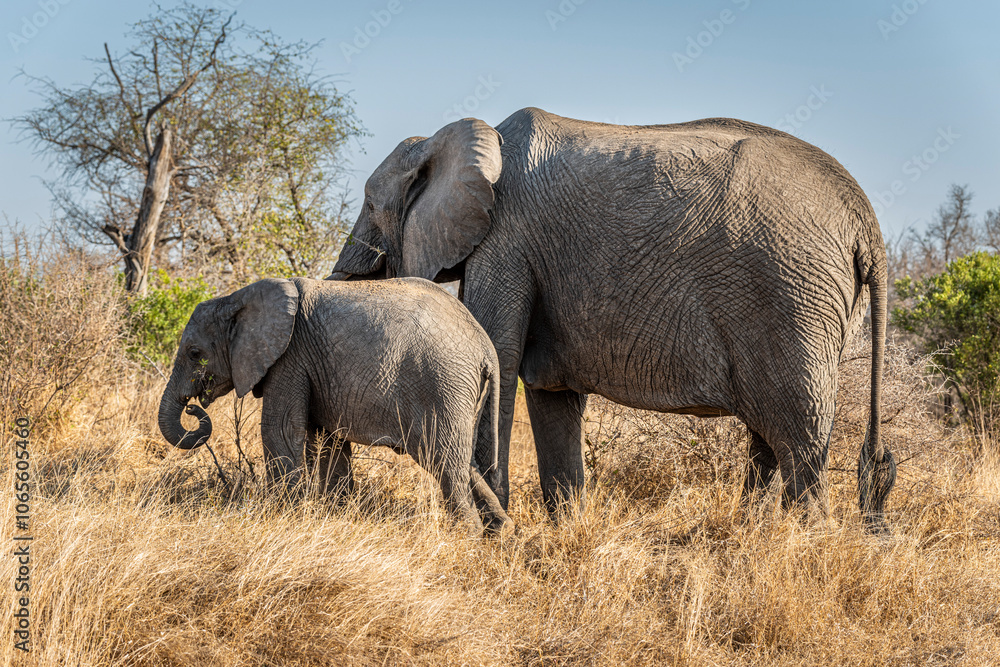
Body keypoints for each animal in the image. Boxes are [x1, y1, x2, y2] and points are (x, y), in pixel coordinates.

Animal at [158, 276, 513, 534]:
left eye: (194, 353)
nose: (192, 408)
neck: (236, 299)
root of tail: (485, 347)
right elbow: (330, 441)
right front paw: (335, 515)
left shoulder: (290, 356)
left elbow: (279, 429)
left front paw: (283, 515)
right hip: (457, 391)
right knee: (460, 459)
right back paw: (501, 530)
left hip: (442, 382)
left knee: (444, 461)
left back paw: (467, 537)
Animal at [329, 107, 897, 532]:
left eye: (370, 205)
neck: (452, 139)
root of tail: (865, 219)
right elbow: (550, 392)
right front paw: (565, 531)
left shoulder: (506, 242)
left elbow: (501, 358)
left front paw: (500, 529)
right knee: (770, 434)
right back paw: (750, 535)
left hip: (790, 294)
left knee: (796, 432)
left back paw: (803, 543)